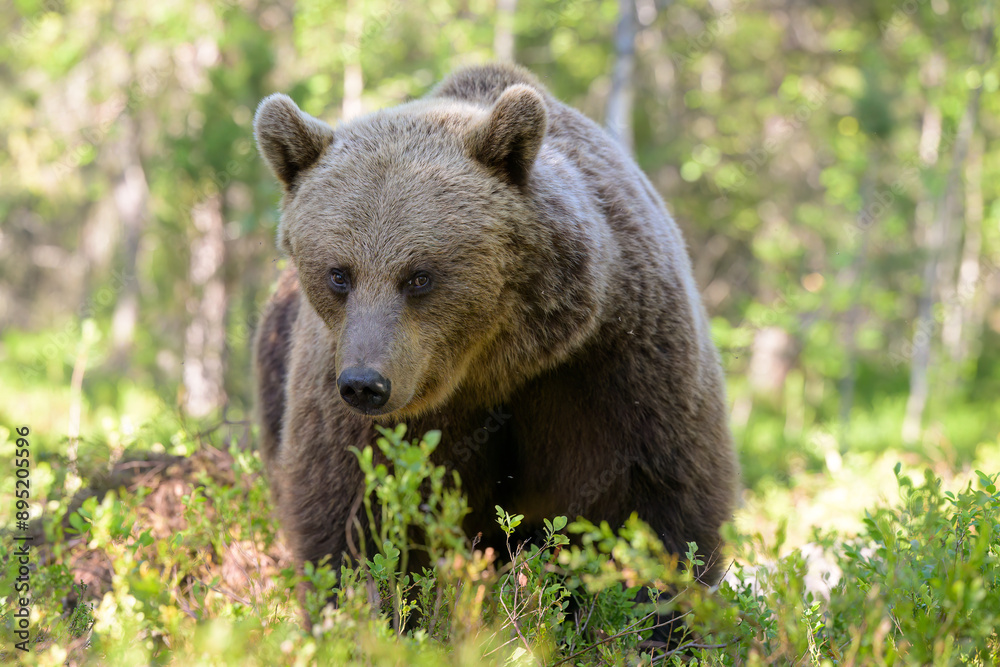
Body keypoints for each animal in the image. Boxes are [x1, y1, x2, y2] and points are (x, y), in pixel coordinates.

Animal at [250, 64, 736, 588]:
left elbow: (655, 503)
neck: (492, 363)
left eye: (419, 275)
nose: (365, 384)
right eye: (339, 274)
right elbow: (350, 516)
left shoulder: (616, 361)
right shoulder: (343, 395)